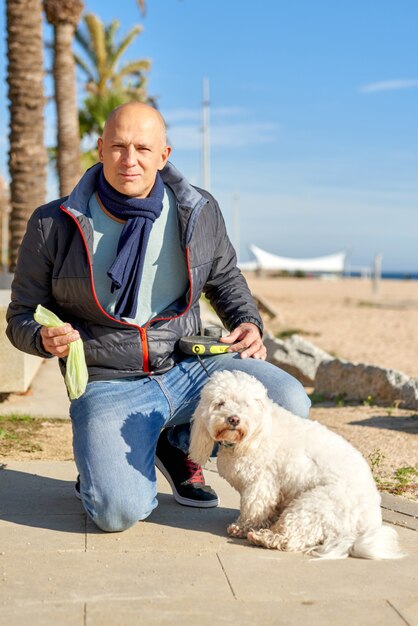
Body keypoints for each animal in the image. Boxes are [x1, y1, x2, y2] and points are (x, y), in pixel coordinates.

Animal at [190, 368, 404, 560]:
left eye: (246, 405)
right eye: (220, 403)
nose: (233, 419)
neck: (257, 432)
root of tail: (364, 529)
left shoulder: (260, 484)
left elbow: (254, 508)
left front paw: (243, 527)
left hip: (313, 504)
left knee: (291, 538)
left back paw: (265, 538)